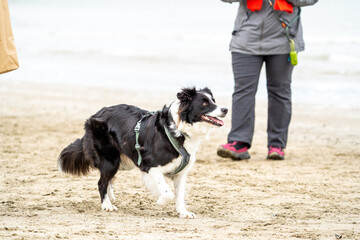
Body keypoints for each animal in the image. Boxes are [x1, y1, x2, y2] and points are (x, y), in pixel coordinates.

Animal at [59, 87, 228, 218]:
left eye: (213, 100)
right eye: (205, 103)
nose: (226, 109)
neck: (179, 131)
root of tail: (96, 114)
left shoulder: (180, 173)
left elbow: (179, 195)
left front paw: (183, 212)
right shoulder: (151, 165)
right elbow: (168, 192)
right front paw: (160, 200)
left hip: (122, 161)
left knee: (107, 180)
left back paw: (110, 196)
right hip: (111, 160)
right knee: (101, 182)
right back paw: (107, 204)